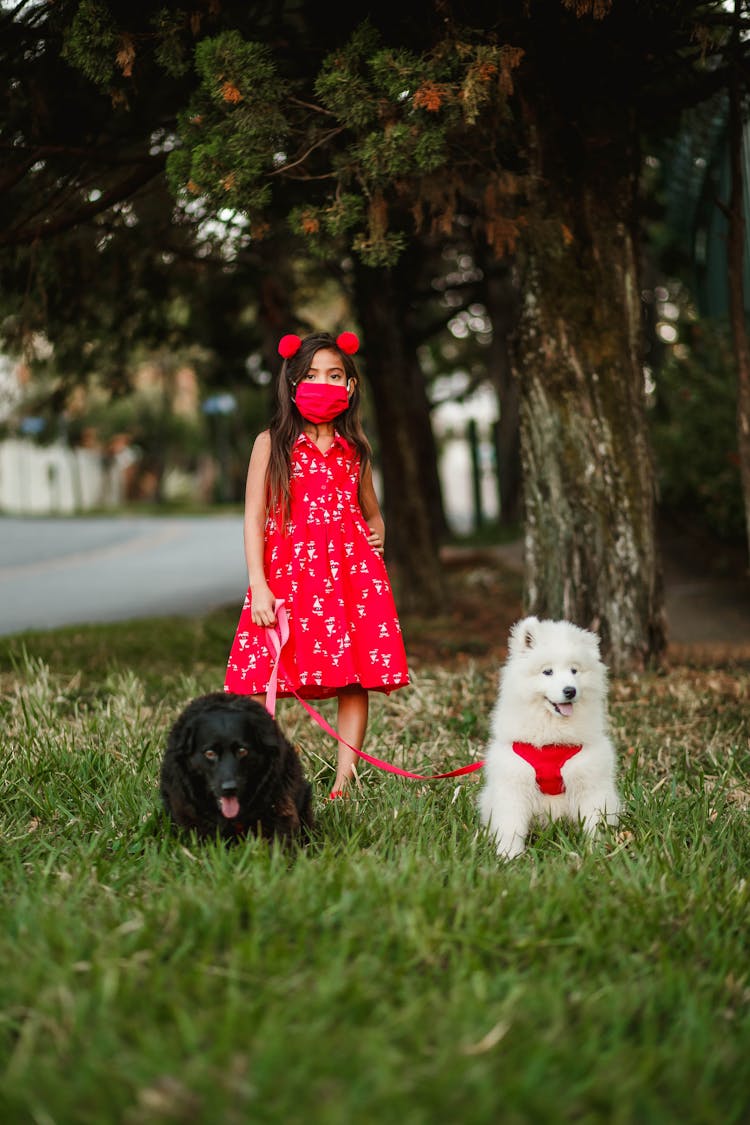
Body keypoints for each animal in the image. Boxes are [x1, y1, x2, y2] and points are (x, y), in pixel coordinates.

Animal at [481, 616, 620, 859]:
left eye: (574, 670)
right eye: (548, 672)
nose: (570, 690)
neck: (552, 739)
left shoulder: (590, 782)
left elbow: (594, 822)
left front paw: (595, 852)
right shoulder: (514, 783)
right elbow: (511, 826)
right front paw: (509, 856)